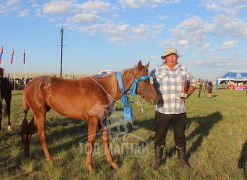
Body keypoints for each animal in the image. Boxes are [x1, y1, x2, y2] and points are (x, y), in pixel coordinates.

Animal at [20, 60, 157, 172]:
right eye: (145, 80)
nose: (157, 98)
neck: (103, 90)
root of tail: (29, 85)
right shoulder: (93, 120)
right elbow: (91, 141)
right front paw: (90, 166)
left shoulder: (103, 120)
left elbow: (106, 140)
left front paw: (112, 163)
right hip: (40, 113)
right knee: (41, 135)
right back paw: (50, 160)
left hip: (38, 113)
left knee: (29, 131)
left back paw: (26, 156)